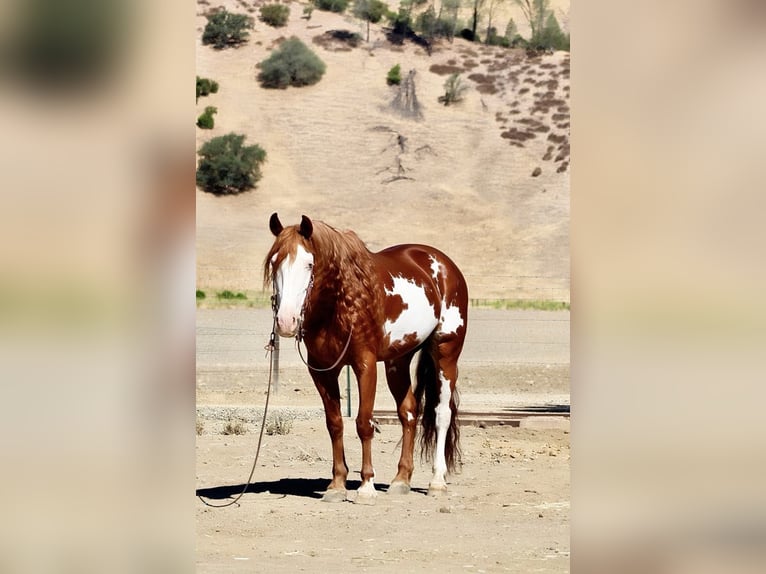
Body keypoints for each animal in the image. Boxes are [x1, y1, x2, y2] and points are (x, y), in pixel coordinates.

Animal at [264, 213, 468, 503]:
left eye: (308, 264)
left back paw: (437, 481)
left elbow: (363, 423)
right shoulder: (322, 370)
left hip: (446, 354)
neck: (341, 304)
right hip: (398, 362)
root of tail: (443, 264)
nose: (285, 321)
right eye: (274, 262)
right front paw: (337, 484)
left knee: (441, 413)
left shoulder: (365, 365)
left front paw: (366, 486)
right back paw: (401, 479)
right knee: (409, 412)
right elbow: (335, 423)